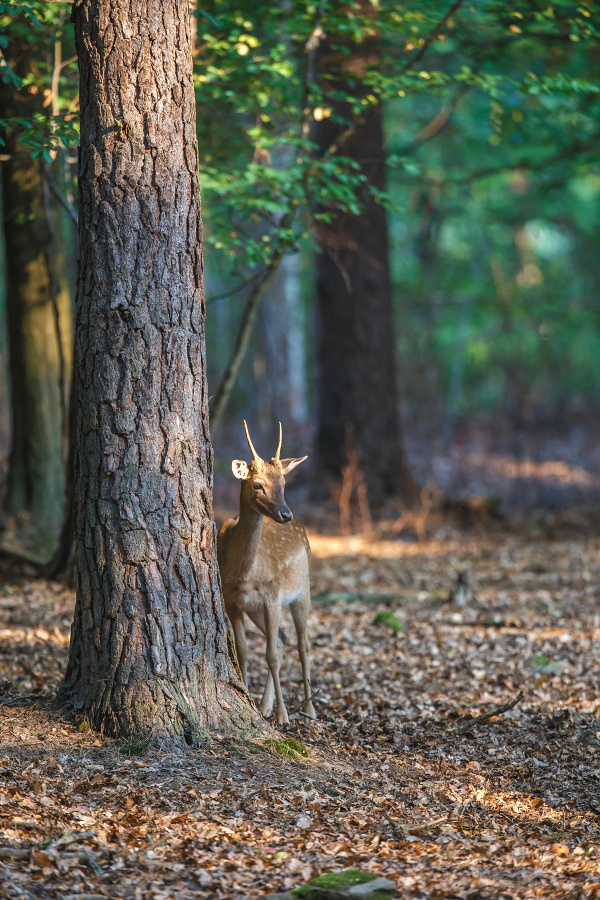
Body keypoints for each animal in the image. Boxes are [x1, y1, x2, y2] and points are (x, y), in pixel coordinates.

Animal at [218, 420, 316, 724]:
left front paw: (283, 716)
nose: (286, 514)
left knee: (302, 645)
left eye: (284, 483)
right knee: (284, 639)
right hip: (257, 609)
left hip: (303, 590)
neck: (243, 572)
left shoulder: (272, 594)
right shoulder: (232, 599)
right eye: (257, 484)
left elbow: (270, 655)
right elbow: (243, 651)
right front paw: (249, 697)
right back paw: (264, 706)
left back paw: (309, 709)